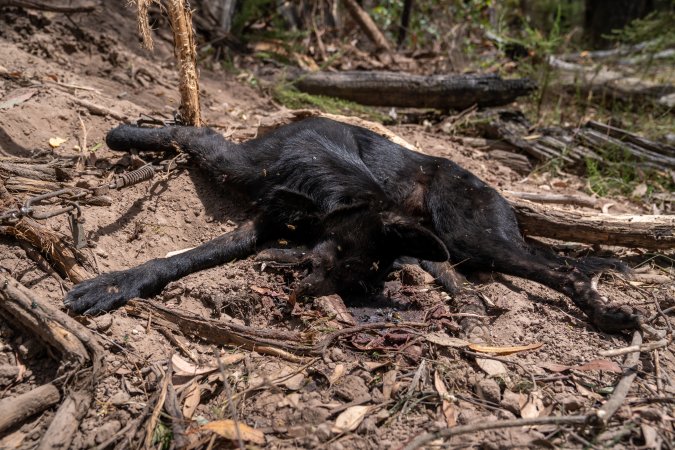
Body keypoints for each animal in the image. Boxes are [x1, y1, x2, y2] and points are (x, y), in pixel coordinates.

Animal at [66, 118, 640, 332]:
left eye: (361, 277)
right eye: (340, 256)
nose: (311, 295)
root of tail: (504, 199)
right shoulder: (244, 178)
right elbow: (184, 134)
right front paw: (123, 135)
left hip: (465, 234)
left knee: (562, 268)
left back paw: (606, 313)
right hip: (463, 238)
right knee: (546, 264)